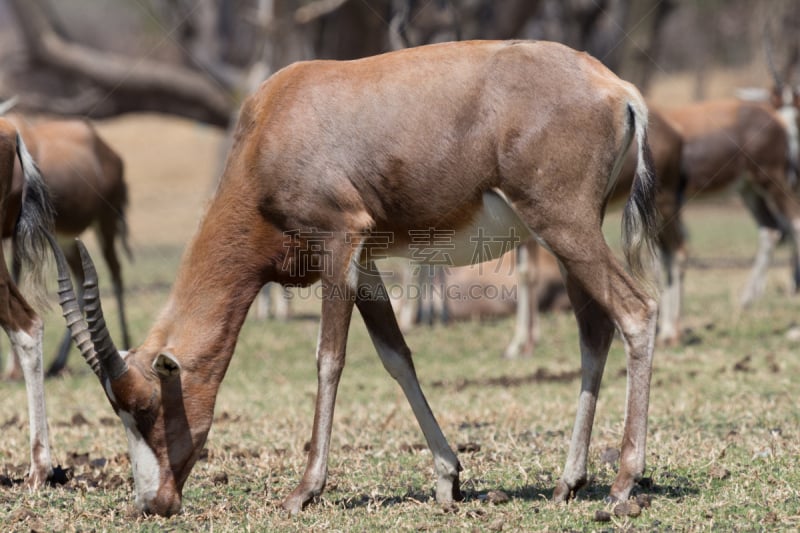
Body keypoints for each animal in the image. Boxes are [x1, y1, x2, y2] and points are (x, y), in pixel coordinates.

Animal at [1, 114, 130, 376]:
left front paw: (12, 369)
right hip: (67, 240)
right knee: (81, 277)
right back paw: (57, 363)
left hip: (106, 222)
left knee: (115, 271)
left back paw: (124, 341)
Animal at [53, 41, 660, 516]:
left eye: (145, 407)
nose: (152, 504)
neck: (276, 118)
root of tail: (615, 88)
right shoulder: (364, 260)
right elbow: (396, 355)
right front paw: (448, 477)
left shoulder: (338, 240)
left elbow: (329, 358)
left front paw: (305, 491)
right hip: (564, 233)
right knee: (594, 331)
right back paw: (568, 482)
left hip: (562, 223)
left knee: (636, 312)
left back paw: (622, 483)